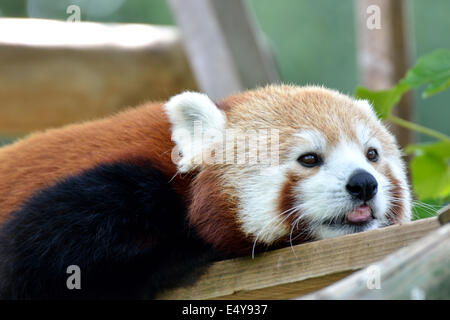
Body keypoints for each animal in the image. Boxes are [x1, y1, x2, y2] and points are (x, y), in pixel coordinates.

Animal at [0, 85, 412, 300]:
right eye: (309, 158)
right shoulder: (108, 193)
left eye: (372, 155)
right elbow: (20, 268)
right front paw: (189, 252)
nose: (364, 183)